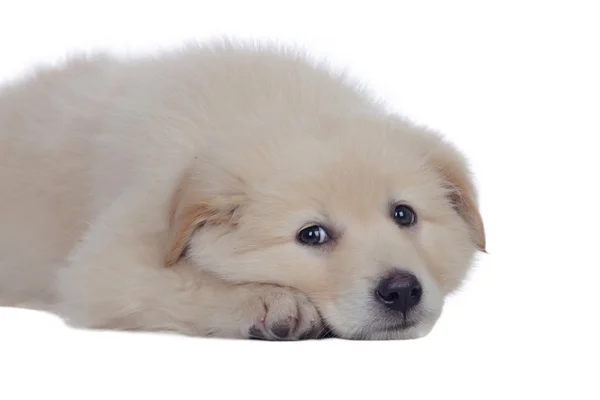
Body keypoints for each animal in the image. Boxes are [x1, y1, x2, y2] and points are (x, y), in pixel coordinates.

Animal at [0, 41, 486, 340]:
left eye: (404, 214)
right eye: (312, 235)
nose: (402, 291)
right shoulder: (105, 266)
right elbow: (190, 282)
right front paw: (269, 301)